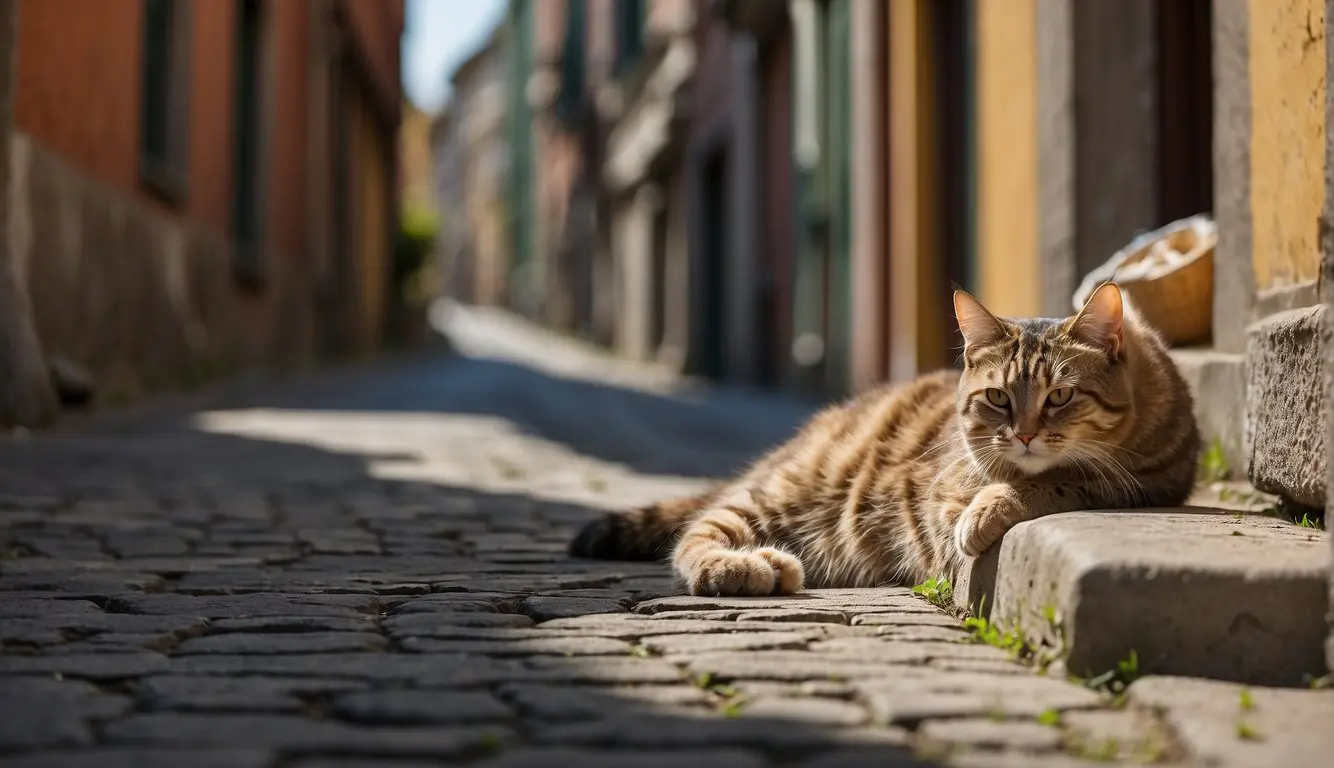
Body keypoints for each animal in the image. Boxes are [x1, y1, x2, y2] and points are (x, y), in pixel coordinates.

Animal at [568, 285, 1205, 597]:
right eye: (999, 398)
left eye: (1061, 396)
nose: (1023, 434)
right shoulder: (948, 492)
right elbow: (1026, 484)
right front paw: (992, 504)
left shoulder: (1146, 482)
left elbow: (1061, 481)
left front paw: (1005, 500)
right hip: (771, 498)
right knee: (694, 539)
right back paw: (744, 567)